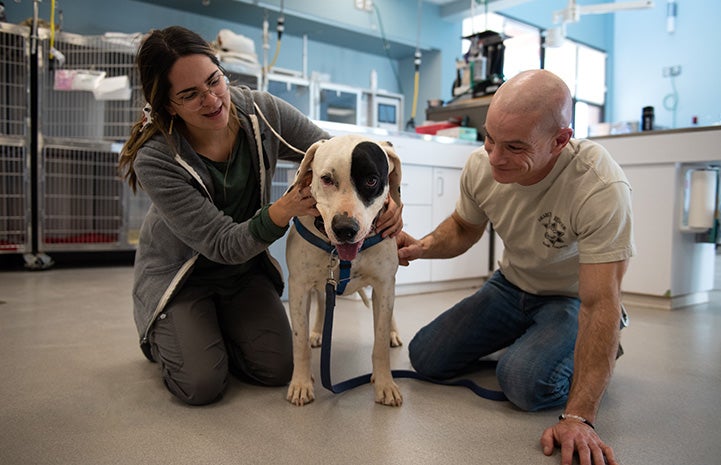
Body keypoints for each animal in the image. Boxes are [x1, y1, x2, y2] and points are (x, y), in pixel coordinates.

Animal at [284, 132, 402, 404]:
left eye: (371, 180)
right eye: (326, 179)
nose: (345, 229)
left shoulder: (384, 284)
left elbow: (380, 342)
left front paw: (385, 383)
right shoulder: (299, 287)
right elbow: (299, 342)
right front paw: (301, 383)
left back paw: (393, 333)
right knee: (322, 303)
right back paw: (318, 332)